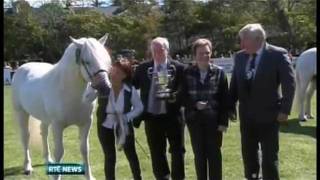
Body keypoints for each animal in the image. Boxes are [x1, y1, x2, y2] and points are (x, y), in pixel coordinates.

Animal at [11, 34, 111, 180]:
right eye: (86, 61)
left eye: (107, 60)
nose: (105, 88)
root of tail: (23, 67)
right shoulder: (57, 126)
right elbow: (59, 152)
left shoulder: (86, 123)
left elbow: (84, 149)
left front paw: (89, 176)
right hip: (21, 113)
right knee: (25, 137)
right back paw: (28, 167)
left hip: (45, 119)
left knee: (43, 133)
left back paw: (48, 160)